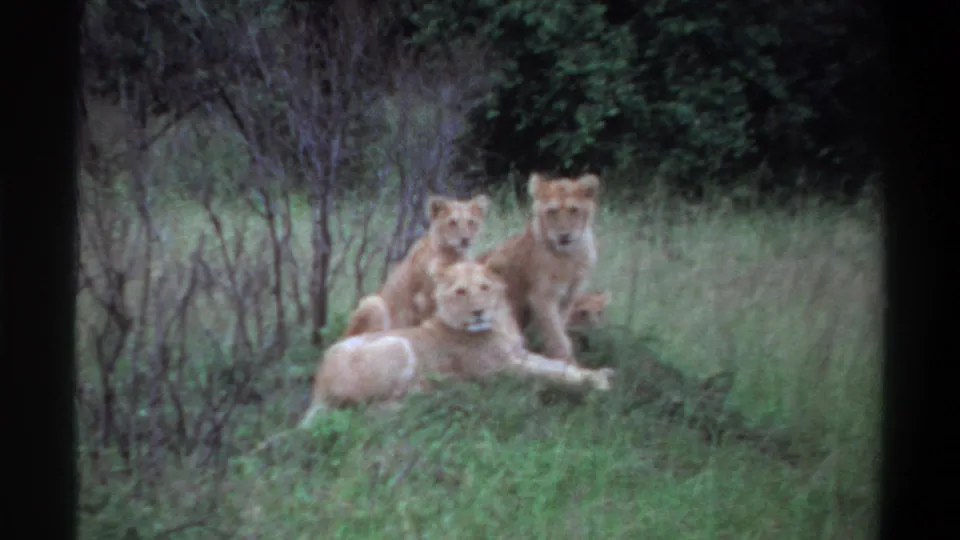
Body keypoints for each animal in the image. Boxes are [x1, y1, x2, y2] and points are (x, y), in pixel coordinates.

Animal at [300, 258, 615, 425]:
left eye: (485, 288)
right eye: (461, 292)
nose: (478, 312)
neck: (499, 324)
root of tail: (317, 385)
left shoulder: (519, 354)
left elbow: (557, 366)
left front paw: (598, 373)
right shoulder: (502, 370)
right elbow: (551, 374)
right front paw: (598, 383)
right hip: (396, 344)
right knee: (368, 410)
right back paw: (438, 393)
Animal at [342, 194, 490, 338]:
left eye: (471, 222)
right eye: (452, 223)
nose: (465, 240)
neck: (454, 255)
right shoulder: (423, 300)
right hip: (373, 302)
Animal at [477, 172, 600, 364]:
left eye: (574, 210)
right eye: (552, 211)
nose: (564, 236)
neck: (569, 256)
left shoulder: (569, 297)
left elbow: (559, 329)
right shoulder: (542, 297)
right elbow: (557, 335)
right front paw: (568, 363)